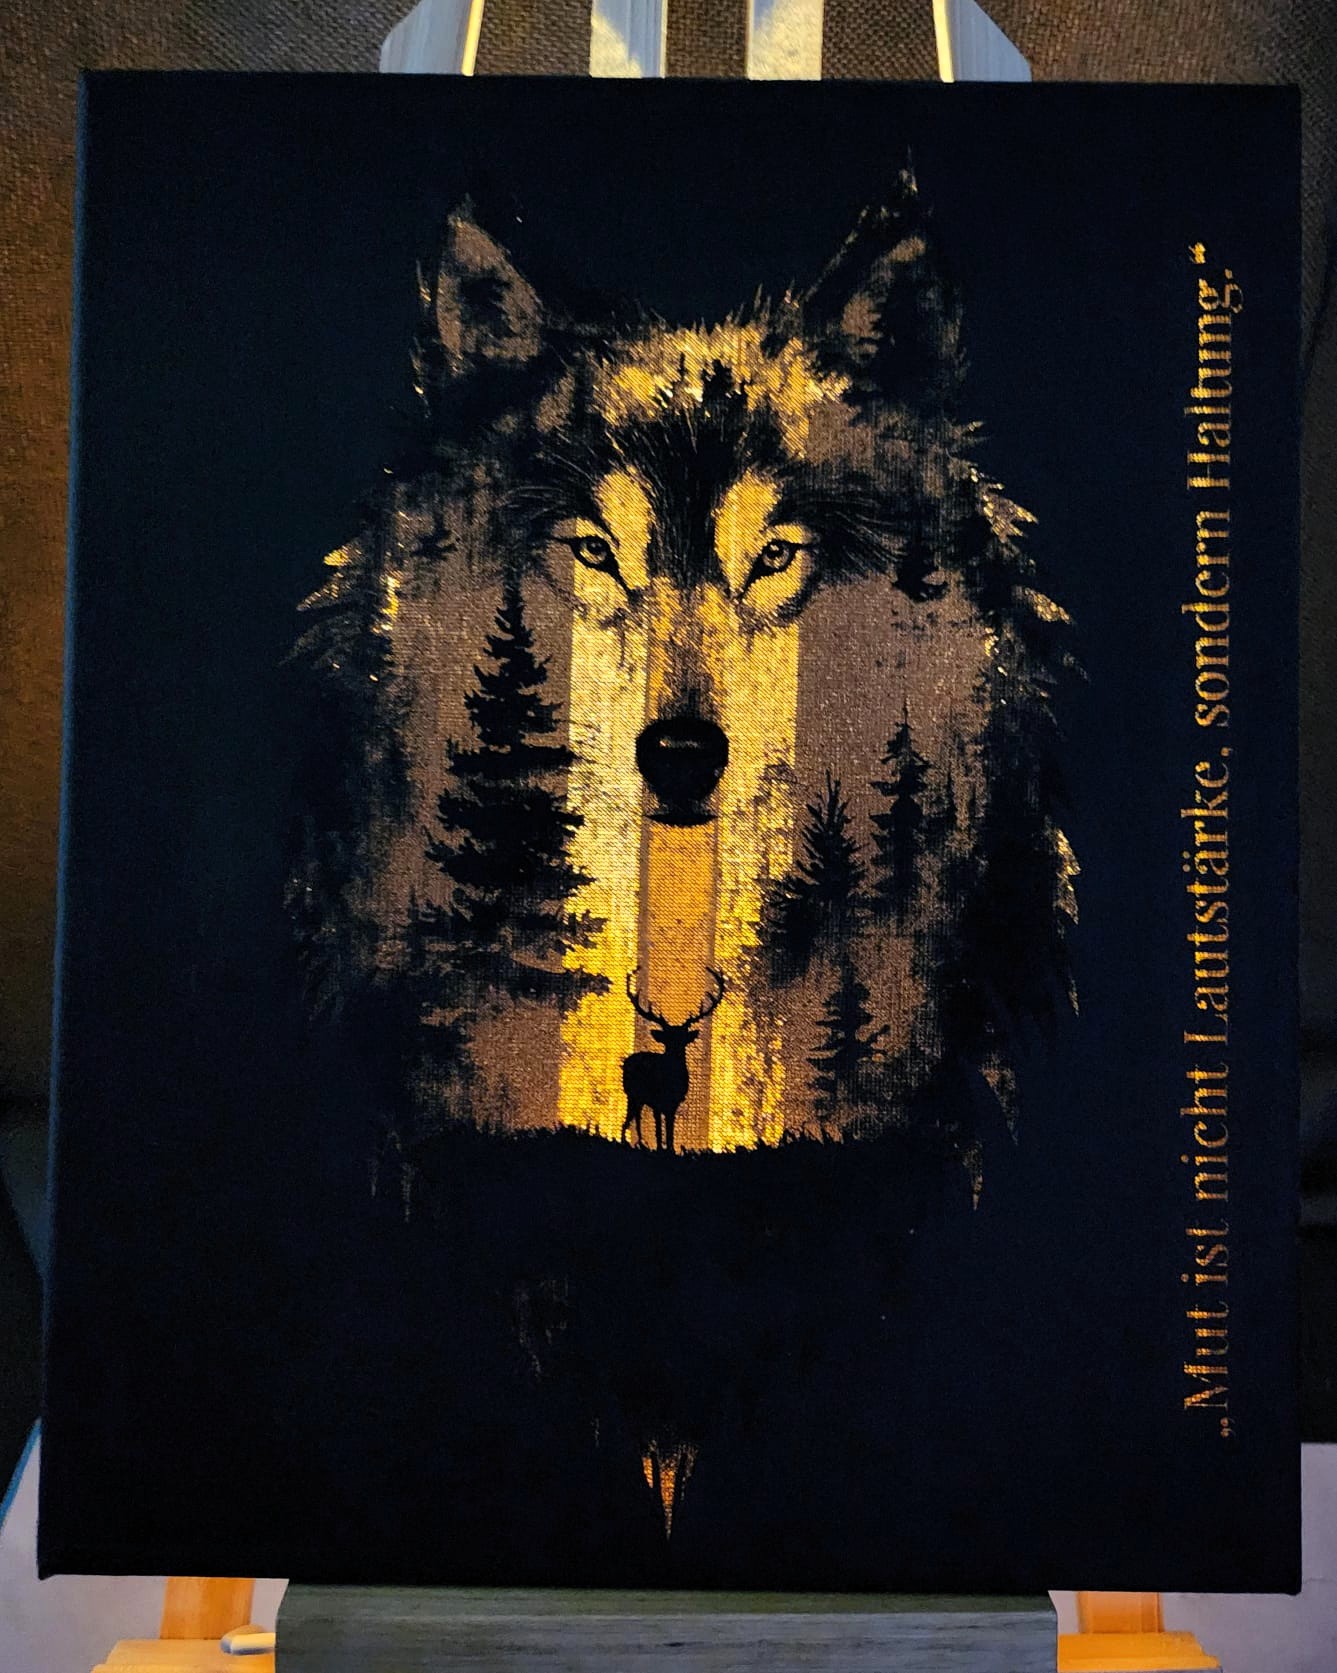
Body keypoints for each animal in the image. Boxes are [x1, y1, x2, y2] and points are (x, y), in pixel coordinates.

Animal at [621, 968, 726, 1153]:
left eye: (683, 1039)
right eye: (667, 1039)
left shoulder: (674, 1103)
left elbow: (670, 1132)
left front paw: (670, 1149)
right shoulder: (656, 1101)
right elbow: (658, 1131)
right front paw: (660, 1148)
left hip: (638, 1098)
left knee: (635, 1117)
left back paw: (639, 1142)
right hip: (631, 1093)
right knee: (631, 1118)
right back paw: (631, 1141)